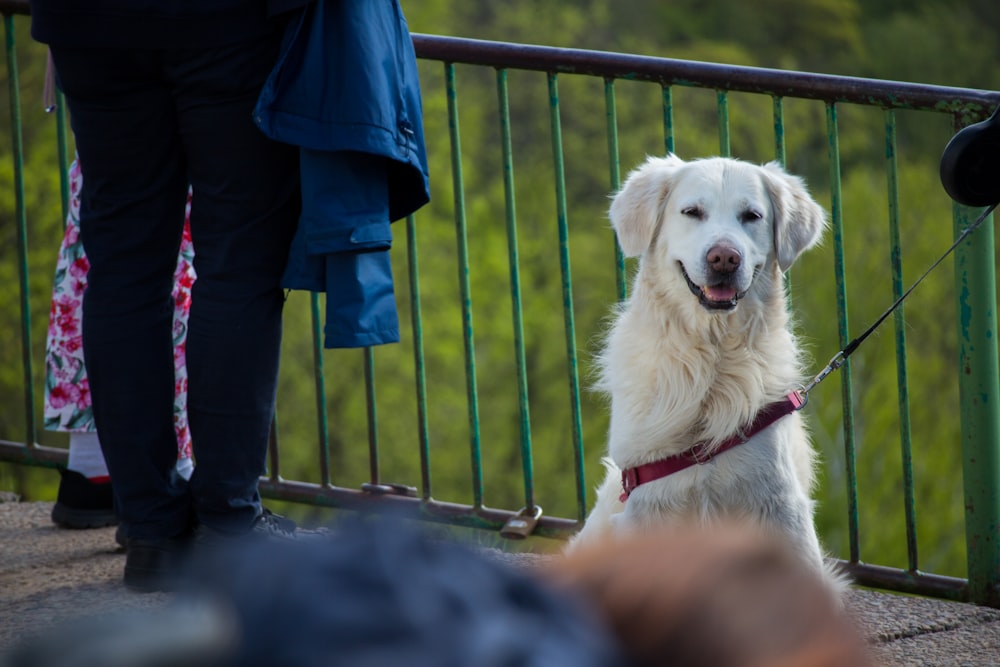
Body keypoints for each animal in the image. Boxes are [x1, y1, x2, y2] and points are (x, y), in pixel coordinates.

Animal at [572, 155, 836, 584]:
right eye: (692, 212)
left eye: (751, 216)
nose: (724, 258)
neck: (712, 357)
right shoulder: (649, 504)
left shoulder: (778, 506)